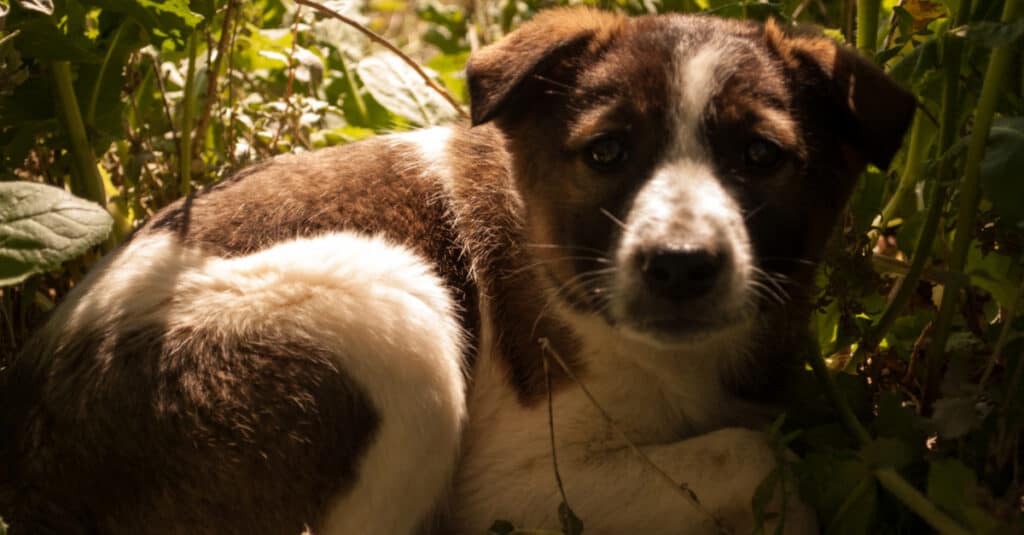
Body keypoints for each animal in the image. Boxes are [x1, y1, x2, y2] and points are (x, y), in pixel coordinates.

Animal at [0, 7, 913, 532]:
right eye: (606, 152)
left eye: (760, 156)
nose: (681, 267)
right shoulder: (517, 485)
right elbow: (756, 456)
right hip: (390, 314)